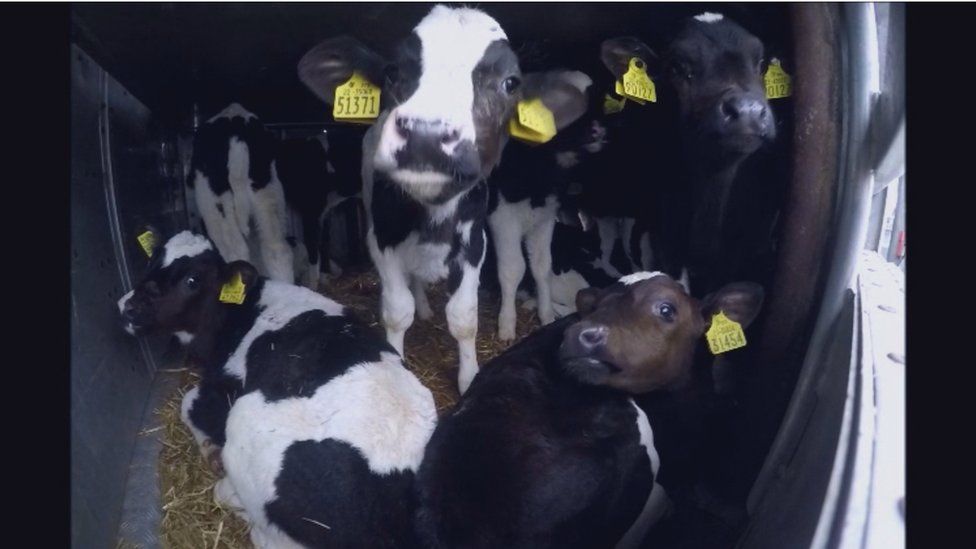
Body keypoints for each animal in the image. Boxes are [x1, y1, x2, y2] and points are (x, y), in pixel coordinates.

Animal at [117, 230, 434, 548]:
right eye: (153, 260)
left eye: (192, 280)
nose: (127, 307)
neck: (242, 313)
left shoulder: (229, 384)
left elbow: (189, 403)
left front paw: (210, 447)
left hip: (245, 424)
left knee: (245, 517)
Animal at [298, 3, 588, 390]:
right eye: (392, 72)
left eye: (510, 83)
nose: (427, 134)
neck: (432, 214)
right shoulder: (382, 237)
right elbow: (397, 310)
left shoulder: (476, 241)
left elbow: (464, 316)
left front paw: (468, 377)